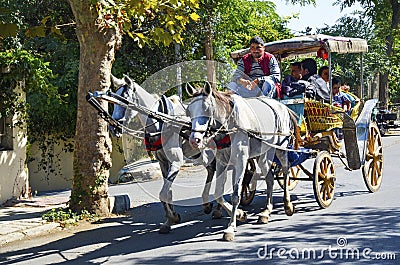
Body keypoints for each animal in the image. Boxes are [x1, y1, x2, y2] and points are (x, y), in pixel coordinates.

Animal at [109, 75, 219, 233]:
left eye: (124, 99)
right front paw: (170, 220)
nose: (113, 128)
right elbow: (167, 192)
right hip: (197, 152)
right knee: (211, 168)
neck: (160, 124)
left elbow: (162, 193)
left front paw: (172, 217)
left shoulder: (176, 162)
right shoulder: (163, 162)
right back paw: (208, 205)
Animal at [186, 81, 298, 240]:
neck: (229, 125)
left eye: (206, 109)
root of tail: (282, 106)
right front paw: (240, 214)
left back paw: (287, 205)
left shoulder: (241, 161)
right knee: (269, 178)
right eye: (189, 111)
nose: (194, 140)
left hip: (281, 148)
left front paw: (231, 227)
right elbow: (218, 193)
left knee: (286, 171)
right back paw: (266, 211)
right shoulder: (222, 162)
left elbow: (235, 195)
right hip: (263, 154)